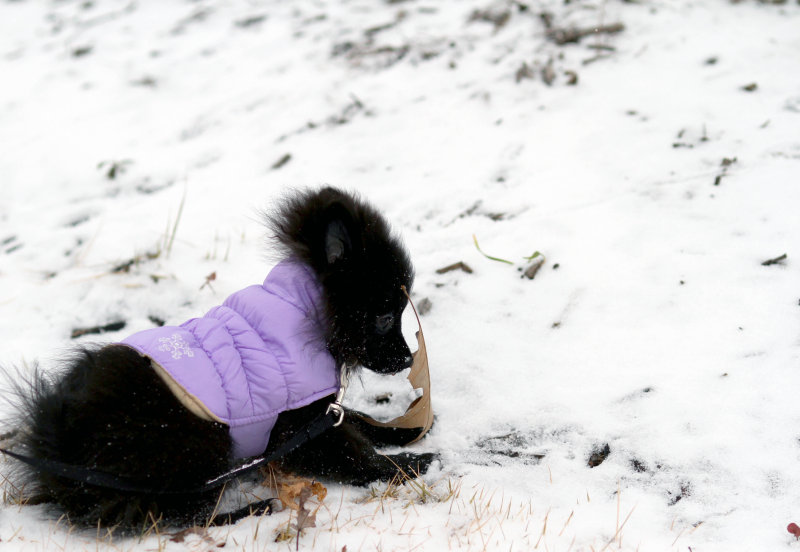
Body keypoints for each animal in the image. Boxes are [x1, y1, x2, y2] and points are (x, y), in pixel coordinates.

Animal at [3, 189, 434, 532]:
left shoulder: (318, 413)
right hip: (199, 445)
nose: (406, 357)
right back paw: (253, 510)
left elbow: (359, 422)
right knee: (177, 515)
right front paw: (410, 464)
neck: (305, 312)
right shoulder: (300, 425)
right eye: (385, 317)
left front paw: (402, 433)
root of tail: (59, 450)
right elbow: (353, 454)